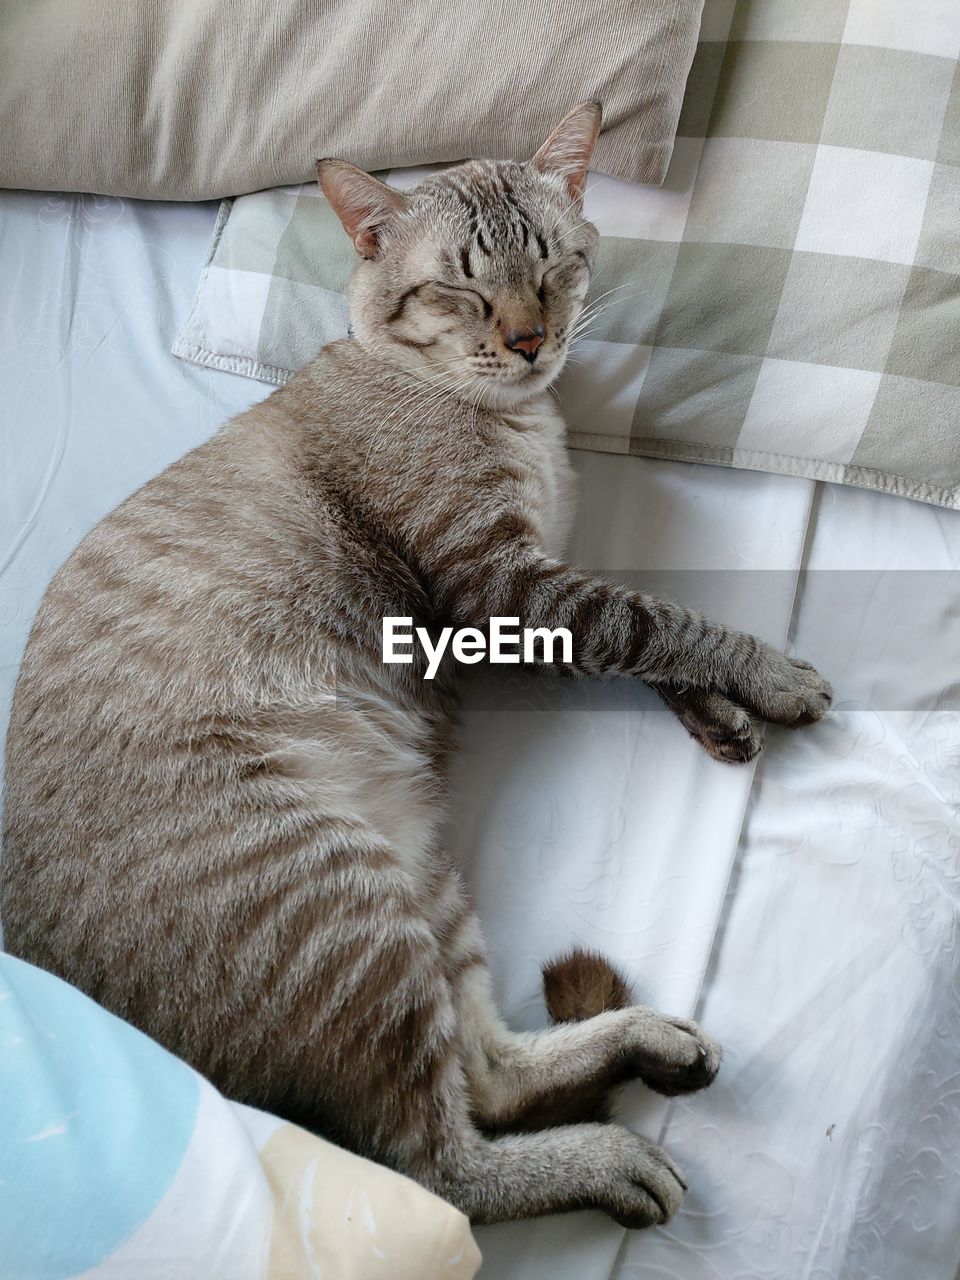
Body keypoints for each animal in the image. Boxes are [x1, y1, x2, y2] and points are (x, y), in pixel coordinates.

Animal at [1, 102, 834, 1228]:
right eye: (461, 289)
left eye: (555, 267)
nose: (530, 340)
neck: (517, 416)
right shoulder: (511, 590)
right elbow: (665, 623)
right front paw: (772, 678)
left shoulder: (543, 594)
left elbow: (655, 639)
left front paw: (724, 714)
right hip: (344, 905)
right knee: (441, 1168)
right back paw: (608, 1160)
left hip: (420, 877)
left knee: (492, 1075)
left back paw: (650, 1043)